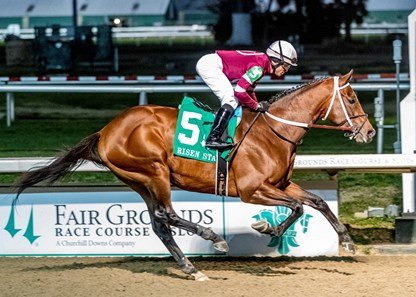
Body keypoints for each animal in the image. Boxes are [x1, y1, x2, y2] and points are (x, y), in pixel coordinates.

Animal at [14, 70, 376, 280]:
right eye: (351, 98)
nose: (370, 132)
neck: (274, 131)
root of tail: (106, 130)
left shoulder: (281, 184)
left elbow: (316, 201)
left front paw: (346, 241)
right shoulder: (253, 190)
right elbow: (298, 207)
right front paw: (267, 228)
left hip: (139, 181)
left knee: (159, 223)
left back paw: (190, 267)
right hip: (154, 172)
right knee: (167, 214)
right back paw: (213, 238)